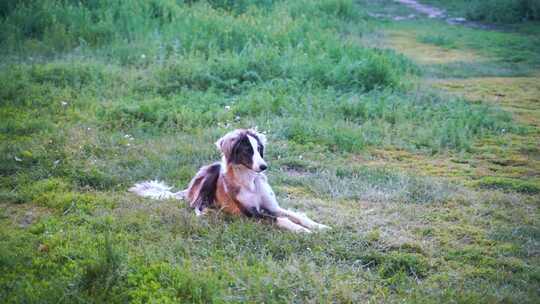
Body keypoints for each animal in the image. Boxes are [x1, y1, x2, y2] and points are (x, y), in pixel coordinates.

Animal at [130, 129, 330, 233]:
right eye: (247, 150)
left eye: (259, 149)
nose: (264, 166)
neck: (251, 180)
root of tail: (188, 188)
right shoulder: (252, 213)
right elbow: (283, 220)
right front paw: (303, 231)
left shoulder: (272, 207)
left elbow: (297, 216)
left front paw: (319, 226)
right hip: (212, 170)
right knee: (196, 205)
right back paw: (209, 212)